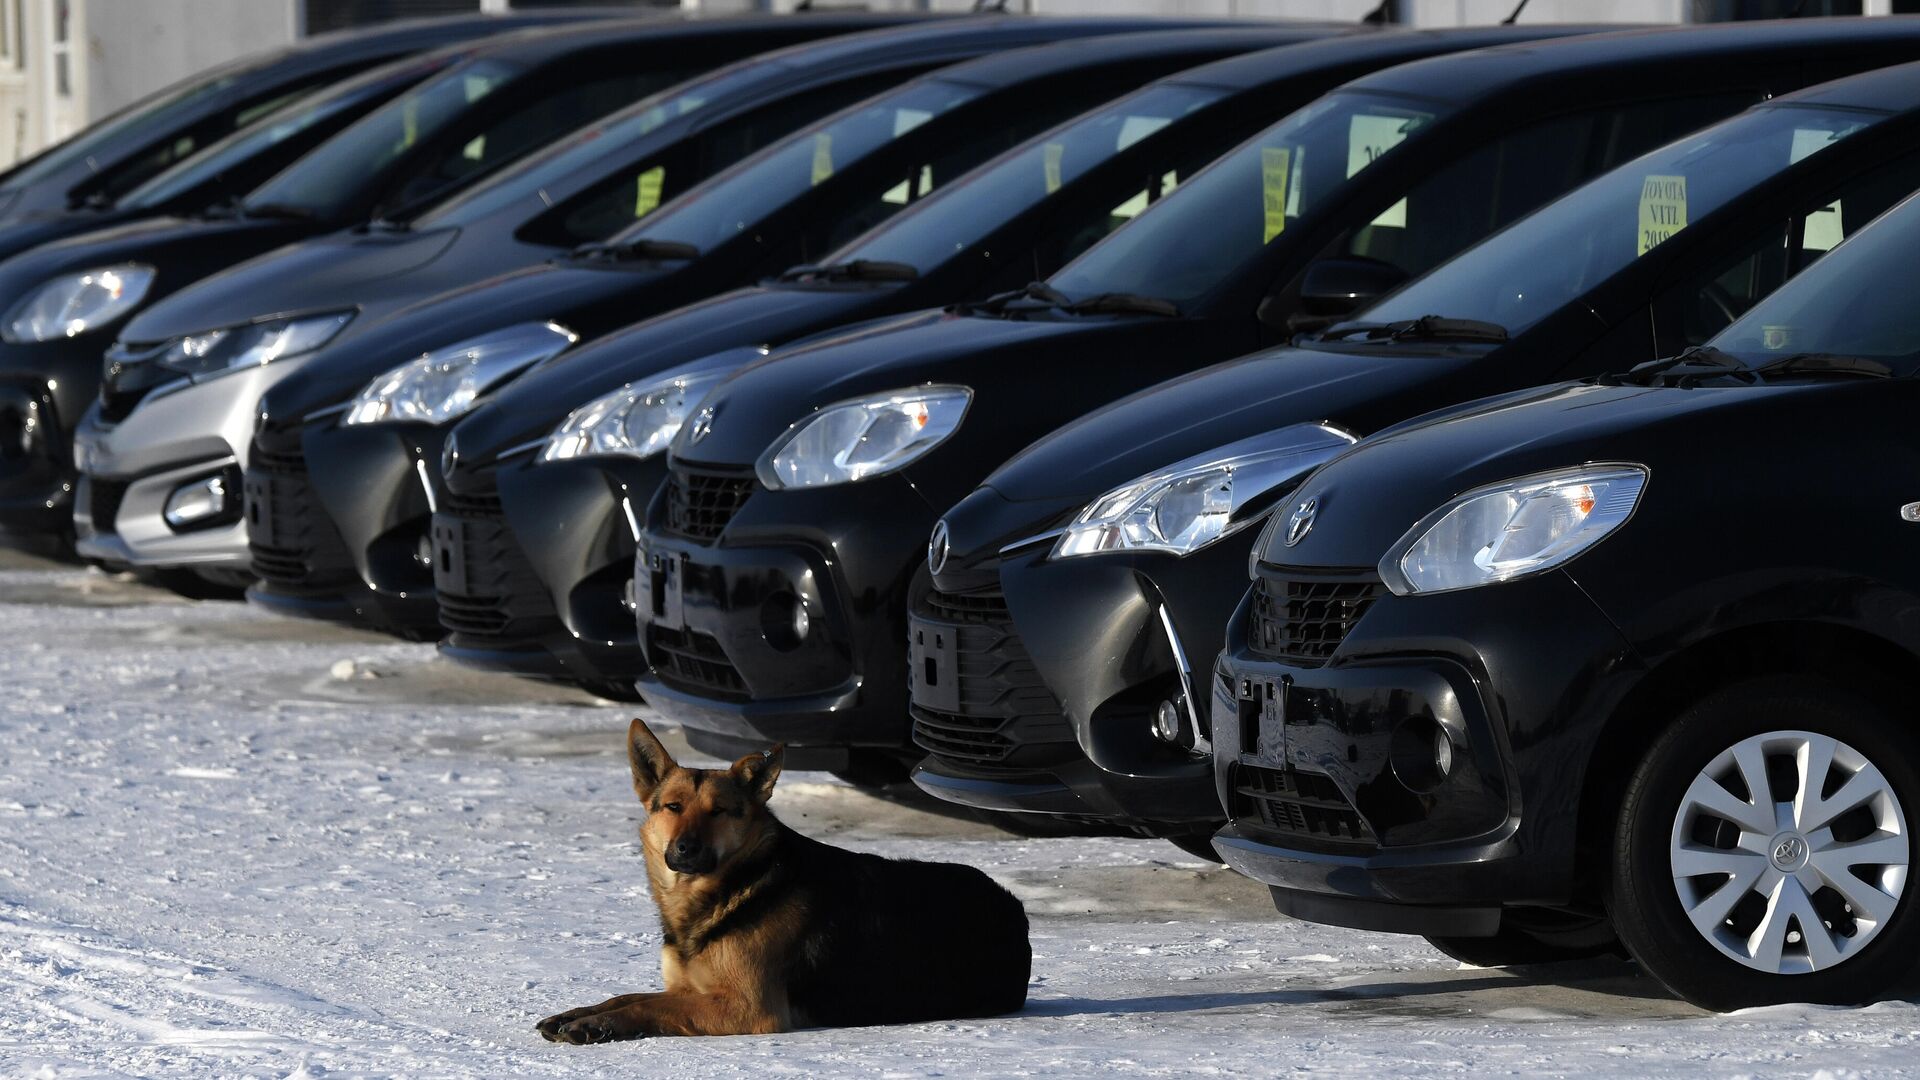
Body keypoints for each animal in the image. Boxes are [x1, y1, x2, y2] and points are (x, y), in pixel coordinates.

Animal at [533, 718, 1036, 1037]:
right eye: (672, 807)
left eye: (719, 811)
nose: (685, 849)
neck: (732, 887)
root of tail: (1012, 905)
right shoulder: (690, 988)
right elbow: (625, 995)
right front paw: (581, 1013)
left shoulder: (746, 1006)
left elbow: (649, 1005)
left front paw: (595, 1026)